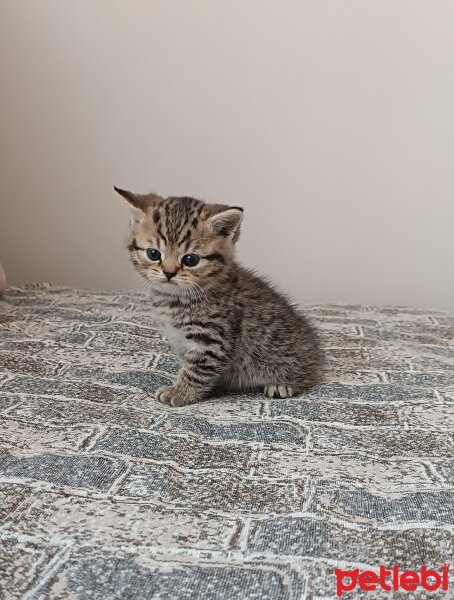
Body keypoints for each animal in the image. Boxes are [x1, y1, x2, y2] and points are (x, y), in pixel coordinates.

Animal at [117, 188, 322, 408]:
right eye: (154, 254)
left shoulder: (213, 338)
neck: (176, 298)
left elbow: (197, 370)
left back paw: (284, 384)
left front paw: (180, 392)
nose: (169, 273)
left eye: (191, 259)